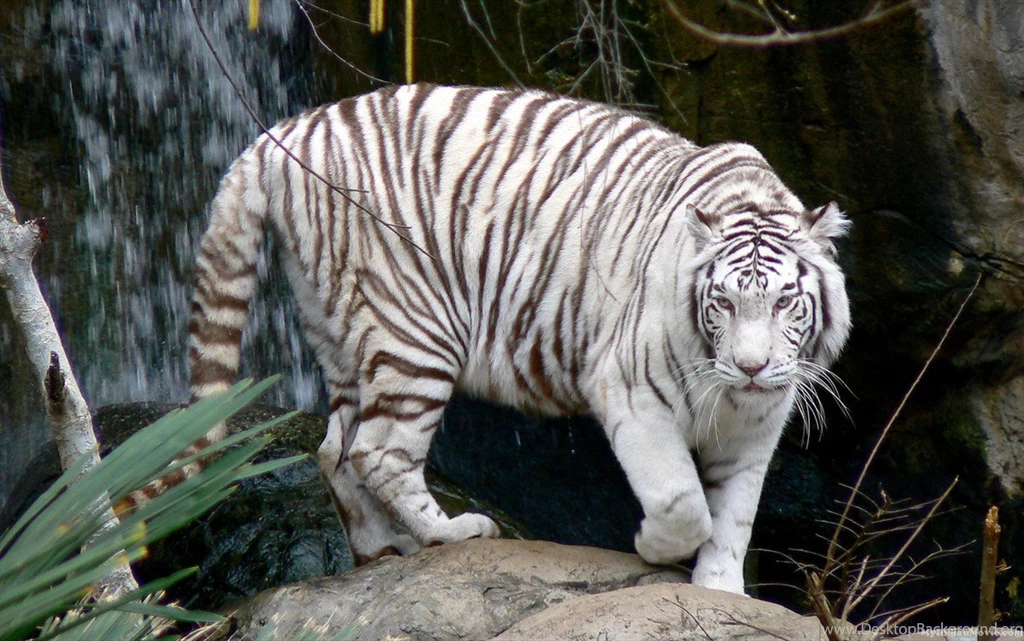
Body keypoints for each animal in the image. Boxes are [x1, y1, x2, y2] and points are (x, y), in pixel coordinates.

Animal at [184, 83, 851, 595]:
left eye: (784, 302)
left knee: (335, 449)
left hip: (338, 329)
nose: (751, 367)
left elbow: (735, 516)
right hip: (416, 331)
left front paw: (721, 590)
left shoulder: (757, 426)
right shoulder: (633, 393)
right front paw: (652, 545)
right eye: (724, 303)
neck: (733, 395)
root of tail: (289, 131)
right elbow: (682, 501)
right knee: (381, 449)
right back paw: (451, 533)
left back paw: (383, 550)